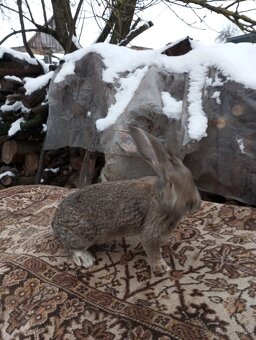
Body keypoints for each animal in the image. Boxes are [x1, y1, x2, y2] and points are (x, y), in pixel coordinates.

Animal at [51, 126, 200, 274]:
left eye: (191, 178)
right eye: (171, 184)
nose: (193, 203)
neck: (159, 197)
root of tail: (55, 223)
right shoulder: (151, 230)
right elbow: (152, 250)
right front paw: (161, 266)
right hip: (83, 234)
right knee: (70, 247)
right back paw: (84, 258)